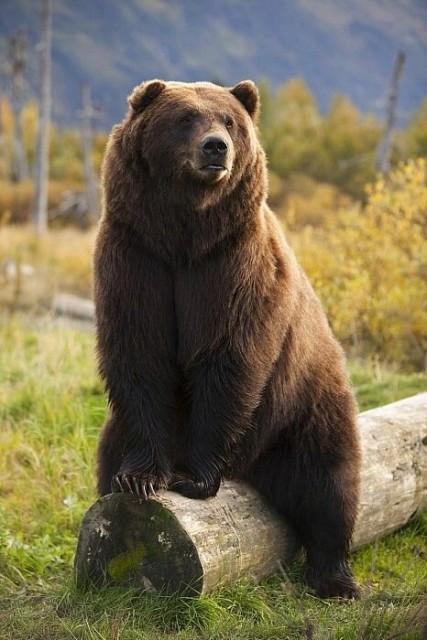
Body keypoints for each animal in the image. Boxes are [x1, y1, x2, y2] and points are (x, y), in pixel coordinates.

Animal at [93, 79, 361, 599]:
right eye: (185, 118)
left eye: (231, 121)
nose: (216, 147)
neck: (184, 236)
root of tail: (255, 469)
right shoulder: (136, 259)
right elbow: (140, 356)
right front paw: (139, 477)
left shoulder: (233, 269)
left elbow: (228, 362)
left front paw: (194, 477)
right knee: (106, 454)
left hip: (303, 405)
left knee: (328, 482)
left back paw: (335, 578)